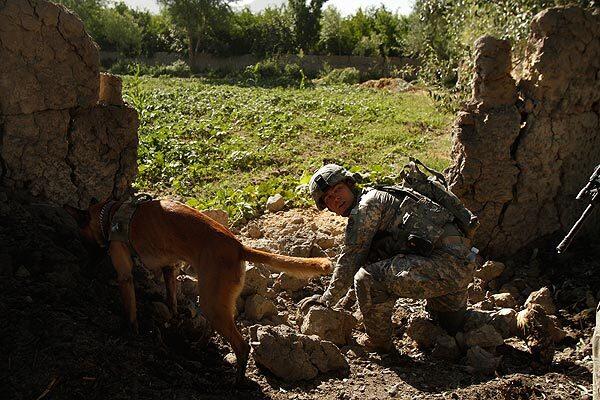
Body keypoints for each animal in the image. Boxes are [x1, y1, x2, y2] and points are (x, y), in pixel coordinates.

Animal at [65, 198, 332, 382]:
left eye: (83, 240)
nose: (83, 268)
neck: (111, 214)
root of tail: (238, 247)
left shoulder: (125, 275)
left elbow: (130, 310)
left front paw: (130, 332)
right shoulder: (169, 268)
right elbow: (171, 300)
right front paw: (172, 321)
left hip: (211, 301)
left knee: (241, 345)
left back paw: (237, 381)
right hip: (216, 300)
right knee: (219, 326)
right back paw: (199, 346)